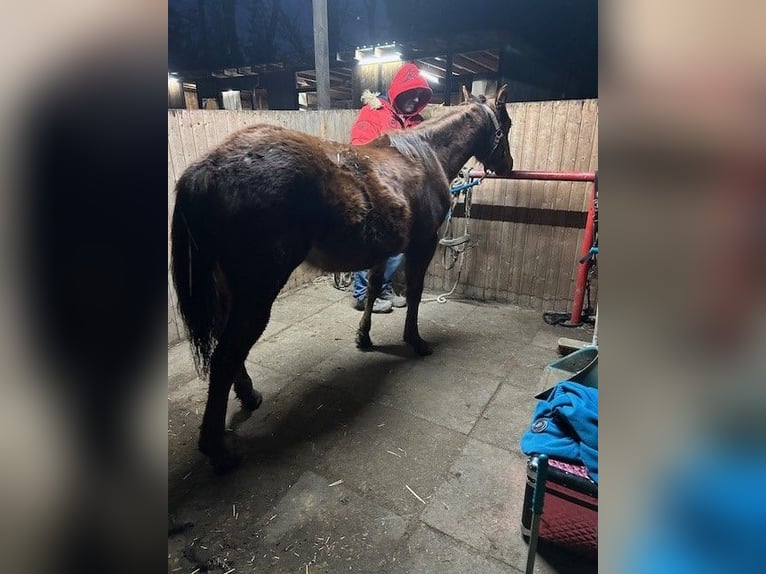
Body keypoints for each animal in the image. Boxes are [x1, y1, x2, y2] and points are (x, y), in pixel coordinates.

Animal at [171, 84, 514, 472]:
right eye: (507, 125)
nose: (508, 166)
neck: (424, 157)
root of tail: (206, 169)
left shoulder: (384, 250)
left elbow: (374, 288)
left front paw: (364, 337)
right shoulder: (423, 245)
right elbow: (414, 293)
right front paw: (416, 341)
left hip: (233, 289)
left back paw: (249, 395)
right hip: (258, 293)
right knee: (225, 355)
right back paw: (217, 448)